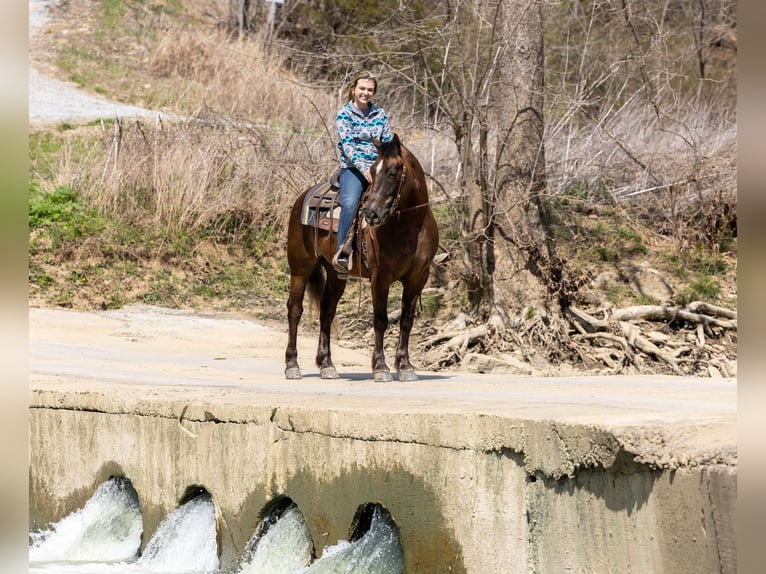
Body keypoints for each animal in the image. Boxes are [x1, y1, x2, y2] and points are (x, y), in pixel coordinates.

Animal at [284, 132, 438, 380]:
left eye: (393, 172)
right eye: (373, 171)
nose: (371, 214)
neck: (411, 226)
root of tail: (302, 198)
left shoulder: (418, 279)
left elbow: (406, 321)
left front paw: (405, 366)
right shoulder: (380, 277)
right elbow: (380, 320)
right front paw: (381, 367)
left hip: (336, 274)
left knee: (327, 311)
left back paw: (327, 365)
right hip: (300, 268)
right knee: (295, 310)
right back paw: (292, 365)